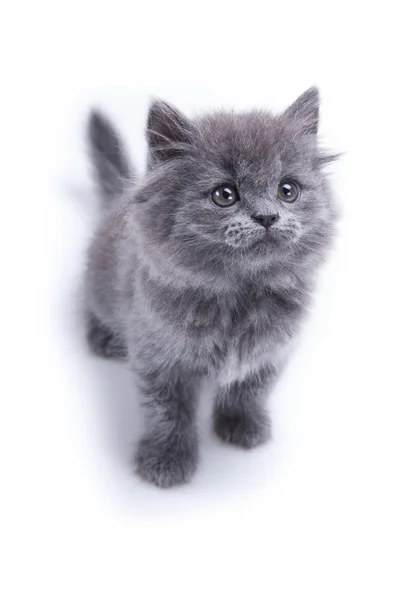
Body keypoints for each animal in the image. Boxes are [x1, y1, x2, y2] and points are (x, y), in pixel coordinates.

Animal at [83, 86, 338, 486]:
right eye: (225, 194)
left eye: (288, 190)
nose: (267, 217)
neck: (239, 296)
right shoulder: (158, 357)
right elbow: (167, 411)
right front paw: (167, 460)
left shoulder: (273, 351)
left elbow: (251, 390)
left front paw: (243, 425)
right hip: (100, 285)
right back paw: (102, 337)